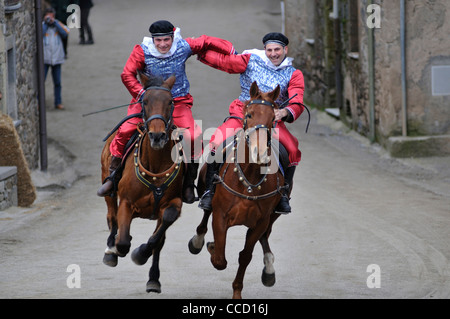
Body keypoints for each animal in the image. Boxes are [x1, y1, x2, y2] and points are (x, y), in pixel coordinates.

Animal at [102, 74, 185, 294]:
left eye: (170, 102)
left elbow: (158, 238)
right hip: (108, 188)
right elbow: (122, 240)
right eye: (145, 101)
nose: (157, 136)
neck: (154, 165)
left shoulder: (173, 203)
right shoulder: (126, 203)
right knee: (111, 217)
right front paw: (119, 247)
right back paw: (110, 250)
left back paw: (153, 279)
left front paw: (141, 254)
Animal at [189, 82, 288, 300]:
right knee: (204, 216)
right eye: (249, 114)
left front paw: (237, 292)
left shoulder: (260, 222)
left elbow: (245, 256)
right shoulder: (221, 215)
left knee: (266, 237)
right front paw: (211, 246)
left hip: (273, 216)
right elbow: (219, 258)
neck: (249, 178)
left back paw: (269, 268)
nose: (260, 152)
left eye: (273, 118)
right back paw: (198, 242)